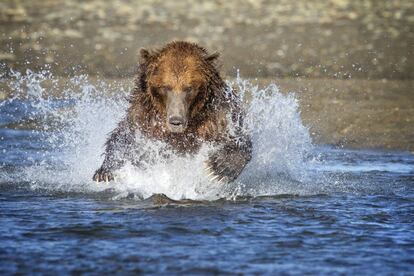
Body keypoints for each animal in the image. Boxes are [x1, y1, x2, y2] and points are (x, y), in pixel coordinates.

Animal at [93, 41, 252, 183]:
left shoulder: (216, 116)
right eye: (166, 87)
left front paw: (219, 168)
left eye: (189, 88)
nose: (176, 121)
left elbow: (237, 137)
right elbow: (124, 137)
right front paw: (104, 172)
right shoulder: (144, 117)